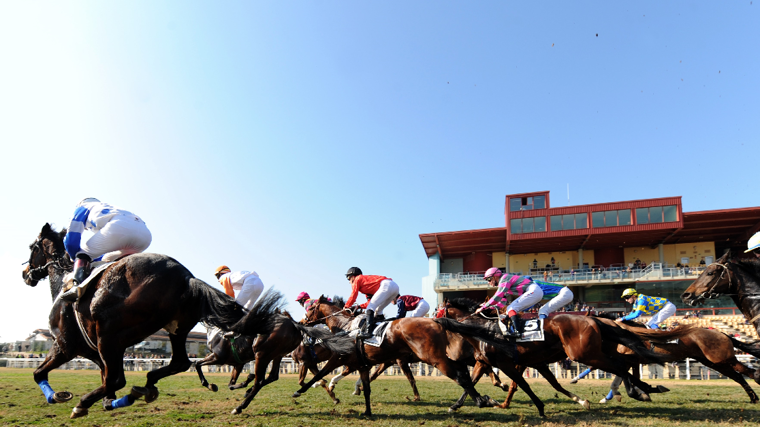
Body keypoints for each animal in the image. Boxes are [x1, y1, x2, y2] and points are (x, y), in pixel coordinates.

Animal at [22, 226, 282, 420]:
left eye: (33, 247)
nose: (26, 274)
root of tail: (186, 276)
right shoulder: (93, 351)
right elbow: (106, 381)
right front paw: (108, 401)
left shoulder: (64, 345)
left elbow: (38, 373)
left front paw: (57, 396)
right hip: (173, 329)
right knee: (179, 362)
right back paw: (145, 386)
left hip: (109, 333)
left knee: (119, 378)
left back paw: (86, 403)